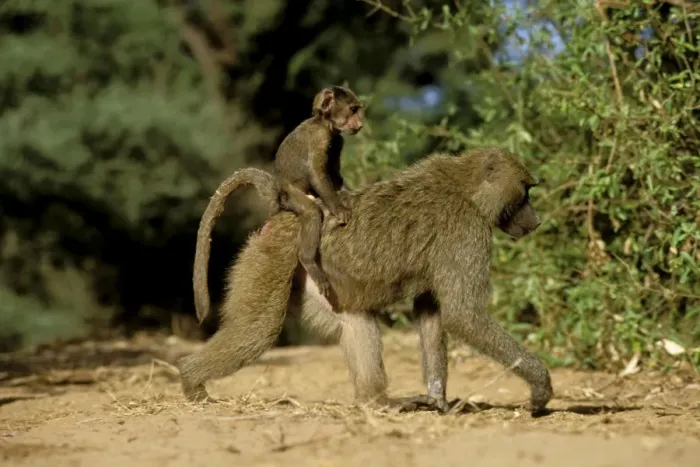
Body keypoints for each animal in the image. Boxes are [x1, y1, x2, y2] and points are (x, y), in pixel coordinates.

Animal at [180, 147, 553, 414]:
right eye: (525, 192)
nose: (536, 221)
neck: (465, 186)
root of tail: (286, 214)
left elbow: (431, 311)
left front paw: (438, 400)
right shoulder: (466, 232)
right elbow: (464, 316)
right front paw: (540, 388)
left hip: (317, 280)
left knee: (355, 320)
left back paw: (376, 402)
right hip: (272, 257)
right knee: (257, 331)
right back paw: (190, 382)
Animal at [273, 85, 364, 301]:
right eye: (353, 110)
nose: (360, 123)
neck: (324, 124)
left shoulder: (338, 139)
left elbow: (334, 175)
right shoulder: (320, 138)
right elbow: (316, 172)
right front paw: (339, 208)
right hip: (291, 194)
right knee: (312, 213)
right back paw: (307, 260)